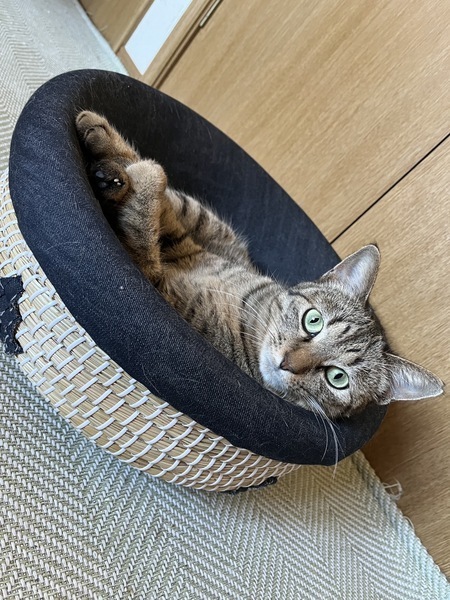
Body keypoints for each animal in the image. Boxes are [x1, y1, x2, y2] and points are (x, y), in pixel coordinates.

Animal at [75, 110, 444, 420]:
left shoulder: (162, 288)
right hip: (218, 230)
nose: (288, 363)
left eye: (337, 378)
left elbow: (150, 199)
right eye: (313, 321)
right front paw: (105, 144)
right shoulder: (191, 235)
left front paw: (127, 178)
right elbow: (158, 182)